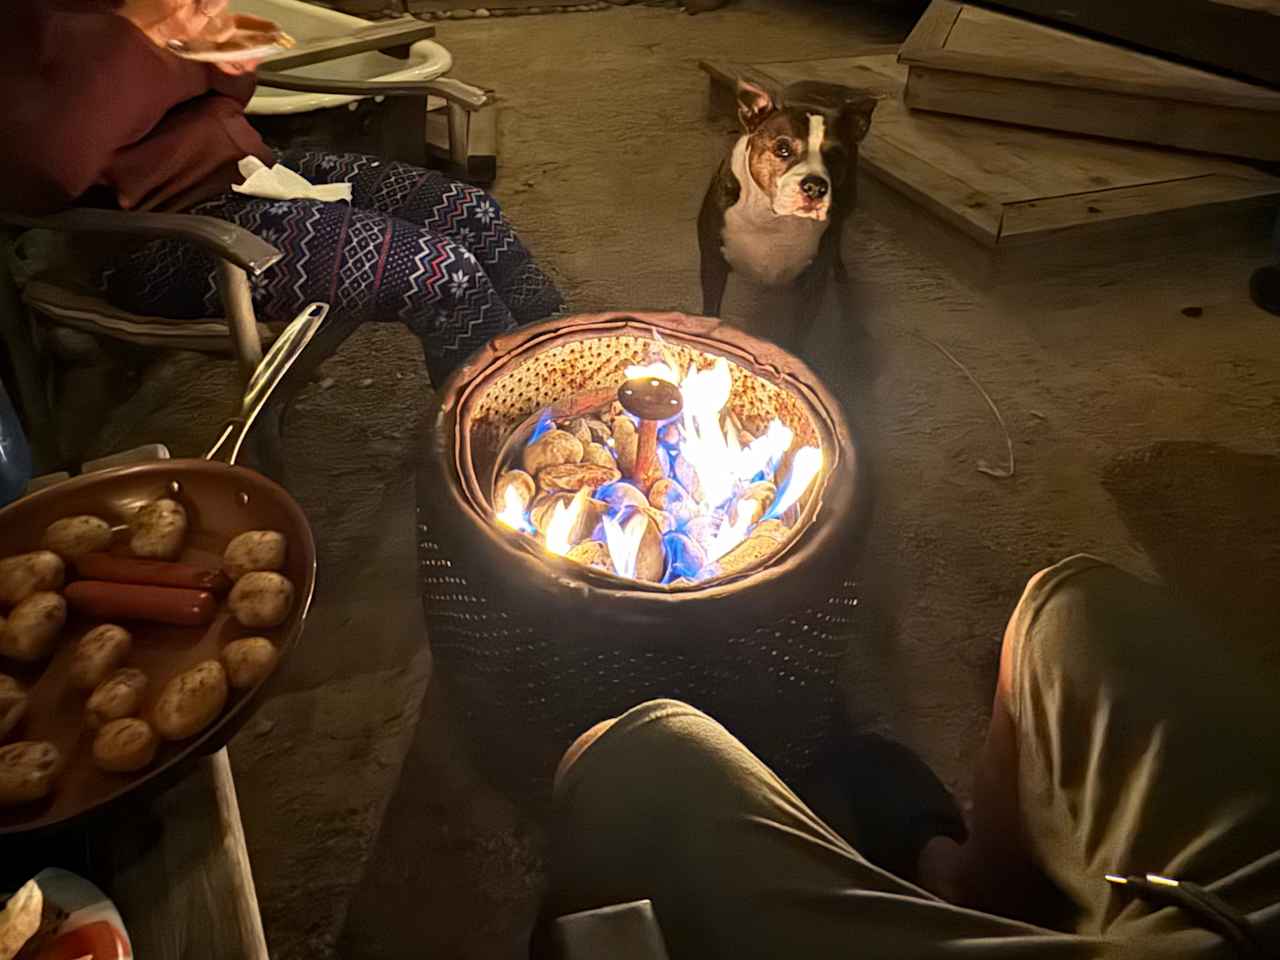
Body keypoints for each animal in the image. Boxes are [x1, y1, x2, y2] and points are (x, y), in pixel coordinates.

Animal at [696, 80, 875, 350]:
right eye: (782, 148)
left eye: (835, 156)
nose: (815, 187)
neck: (774, 220)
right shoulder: (713, 263)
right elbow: (711, 311)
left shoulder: (813, 282)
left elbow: (797, 334)